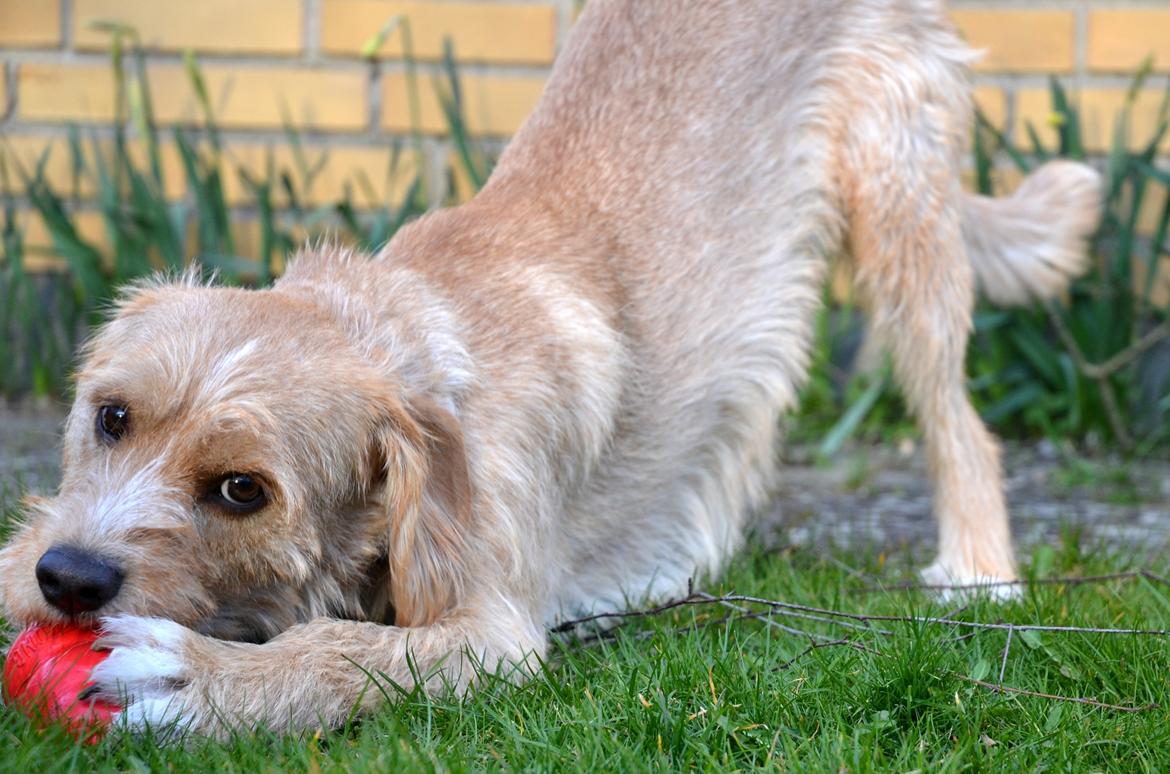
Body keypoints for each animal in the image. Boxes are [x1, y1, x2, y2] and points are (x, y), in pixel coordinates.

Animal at [0, 0, 1095, 738]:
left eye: (242, 490)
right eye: (110, 418)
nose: (68, 577)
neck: (399, 334)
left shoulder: (493, 634)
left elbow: (343, 652)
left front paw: (209, 681)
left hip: (899, 210)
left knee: (960, 423)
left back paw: (979, 572)